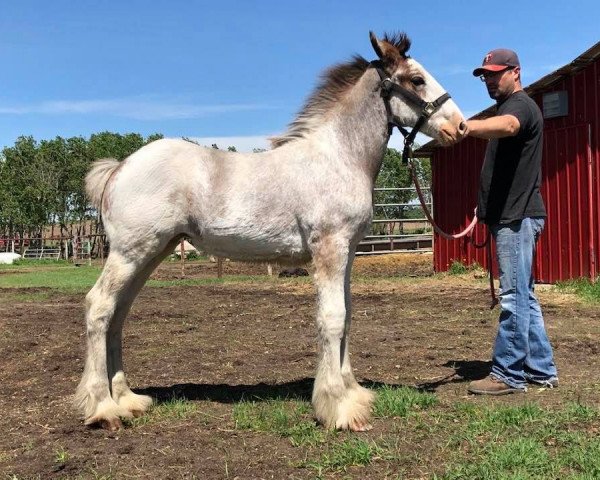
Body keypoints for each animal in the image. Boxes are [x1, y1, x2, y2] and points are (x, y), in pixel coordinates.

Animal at [75, 31, 466, 434]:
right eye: (417, 79)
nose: (460, 127)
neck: (338, 158)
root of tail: (120, 167)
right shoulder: (329, 248)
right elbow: (332, 317)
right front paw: (339, 408)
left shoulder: (347, 253)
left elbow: (348, 315)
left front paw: (353, 395)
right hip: (130, 253)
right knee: (99, 307)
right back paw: (103, 408)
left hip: (152, 253)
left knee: (118, 314)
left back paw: (128, 400)